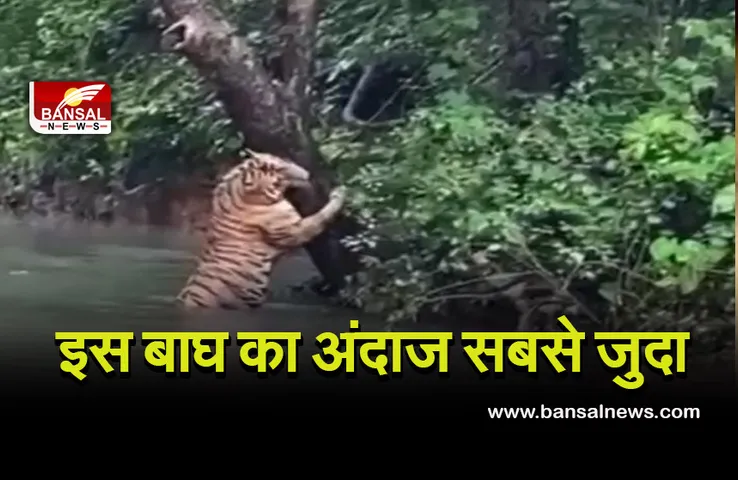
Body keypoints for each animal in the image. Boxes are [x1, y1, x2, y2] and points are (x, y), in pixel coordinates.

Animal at [176, 150, 347, 310]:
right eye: (280, 170)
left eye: (284, 160)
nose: (307, 173)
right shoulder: (294, 230)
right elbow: (320, 216)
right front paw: (340, 193)